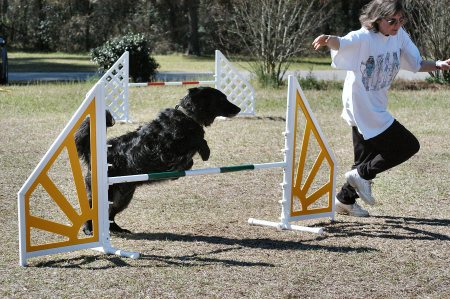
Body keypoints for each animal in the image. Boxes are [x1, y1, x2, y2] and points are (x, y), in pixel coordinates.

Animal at [75, 86, 241, 234]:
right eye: (221, 99)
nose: (239, 109)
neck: (187, 117)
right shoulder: (165, 150)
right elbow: (196, 141)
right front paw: (203, 153)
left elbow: (193, 151)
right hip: (107, 191)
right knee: (93, 209)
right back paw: (89, 229)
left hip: (123, 195)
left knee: (110, 212)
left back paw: (117, 229)